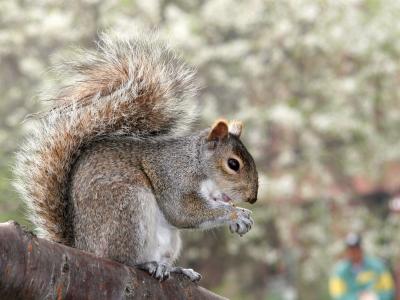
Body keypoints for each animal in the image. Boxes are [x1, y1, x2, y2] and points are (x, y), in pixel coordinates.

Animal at [13, 32, 260, 282]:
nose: (252, 198)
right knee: (121, 257)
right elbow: (182, 211)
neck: (196, 162)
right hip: (128, 208)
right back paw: (146, 264)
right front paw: (237, 215)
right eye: (233, 163)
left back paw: (176, 269)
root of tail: (83, 247)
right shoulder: (173, 177)